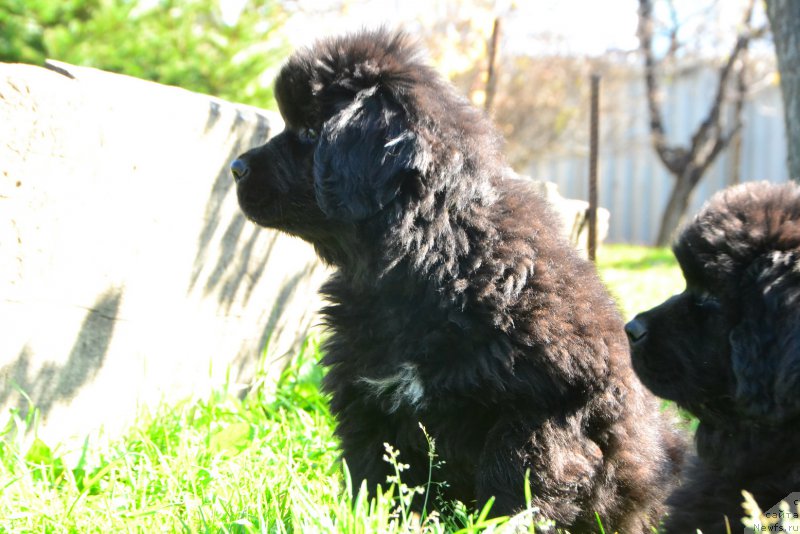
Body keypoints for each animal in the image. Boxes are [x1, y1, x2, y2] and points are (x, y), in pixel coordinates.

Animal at [231, 30, 680, 534]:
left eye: (310, 133)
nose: (236, 168)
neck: (431, 255)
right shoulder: (367, 396)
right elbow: (376, 476)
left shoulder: (542, 411)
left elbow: (514, 485)